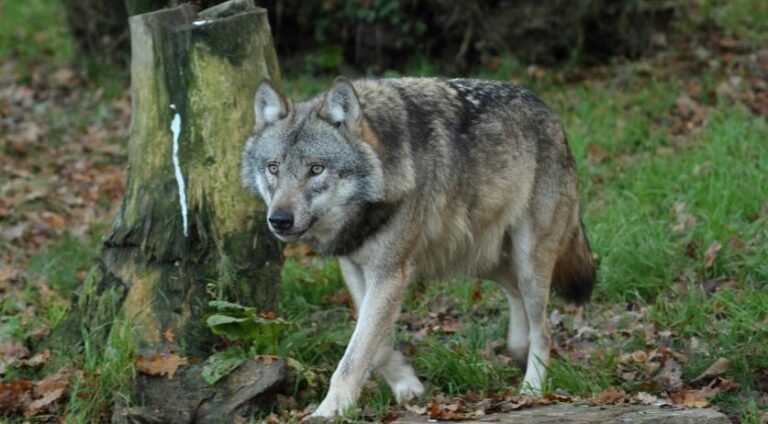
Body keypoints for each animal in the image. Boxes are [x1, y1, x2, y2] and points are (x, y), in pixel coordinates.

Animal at [238, 75, 592, 418]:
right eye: (273, 168)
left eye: (316, 169)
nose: (279, 220)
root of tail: (550, 112)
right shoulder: (355, 269)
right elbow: (374, 343)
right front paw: (406, 384)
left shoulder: (390, 273)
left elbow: (355, 353)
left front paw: (331, 409)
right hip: (483, 259)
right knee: (517, 299)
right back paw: (517, 349)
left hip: (527, 259)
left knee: (544, 330)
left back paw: (532, 387)